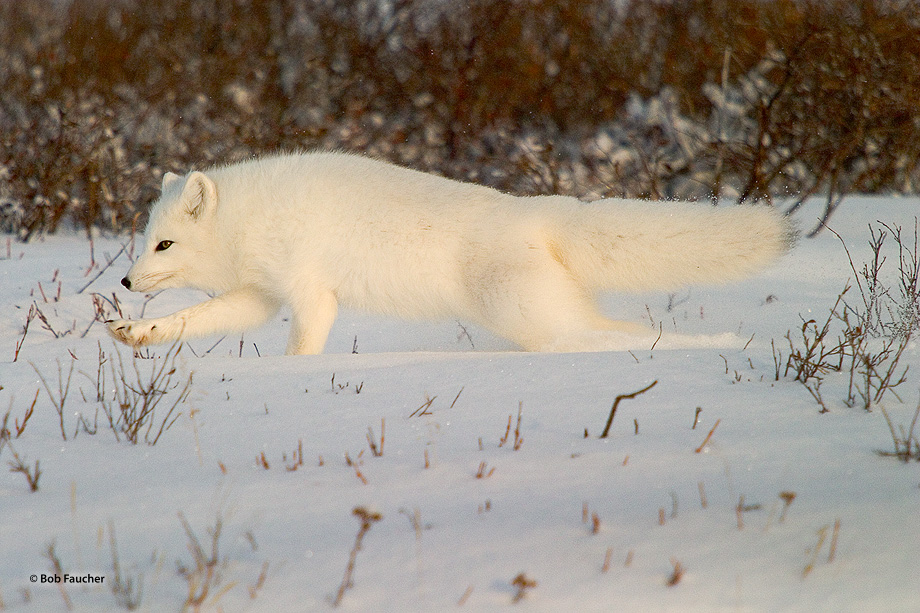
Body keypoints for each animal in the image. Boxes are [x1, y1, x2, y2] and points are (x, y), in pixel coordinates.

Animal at [108, 151, 796, 354]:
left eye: (164, 242)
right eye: (144, 240)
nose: (124, 284)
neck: (252, 219)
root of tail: (538, 209)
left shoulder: (308, 291)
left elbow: (304, 343)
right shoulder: (259, 295)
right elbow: (195, 318)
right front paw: (135, 332)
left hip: (519, 313)